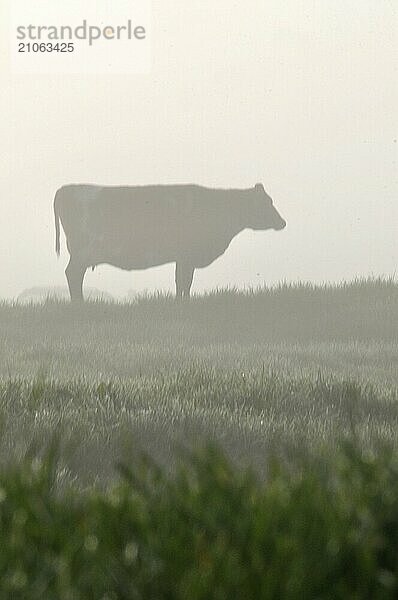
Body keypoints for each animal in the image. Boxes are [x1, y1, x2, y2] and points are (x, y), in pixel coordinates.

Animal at [55, 182, 286, 302]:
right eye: (267, 203)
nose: (282, 222)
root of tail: (66, 188)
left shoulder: (182, 258)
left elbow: (182, 281)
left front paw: (181, 301)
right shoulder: (188, 255)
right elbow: (185, 281)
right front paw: (183, 303)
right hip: (82, 252)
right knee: (73, 275)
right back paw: (79, 303)